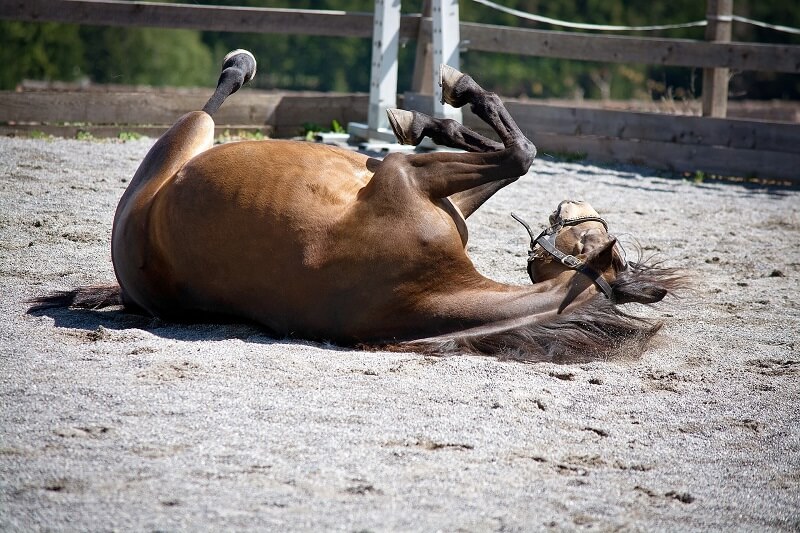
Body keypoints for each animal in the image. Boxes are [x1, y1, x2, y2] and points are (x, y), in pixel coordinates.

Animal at [31, 50, 680, 362]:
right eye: (595, 238)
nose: (570, 209)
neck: (428, 288)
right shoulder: (419, 183)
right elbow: (510, 152)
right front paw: (430, 116)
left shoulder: (403, 176)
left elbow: (517, 154)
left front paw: (444, 102)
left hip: (183, 140)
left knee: (212, 102)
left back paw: (239, 65)